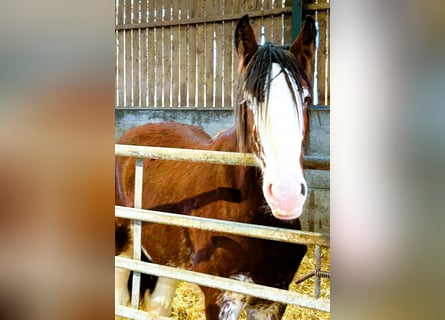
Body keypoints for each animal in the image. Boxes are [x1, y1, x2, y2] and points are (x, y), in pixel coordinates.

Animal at [114, 13, 316, 318]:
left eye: (306, 98)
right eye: (248, 101)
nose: (286, 196)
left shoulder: (272, 298)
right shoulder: (221, 298)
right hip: (122, 249)